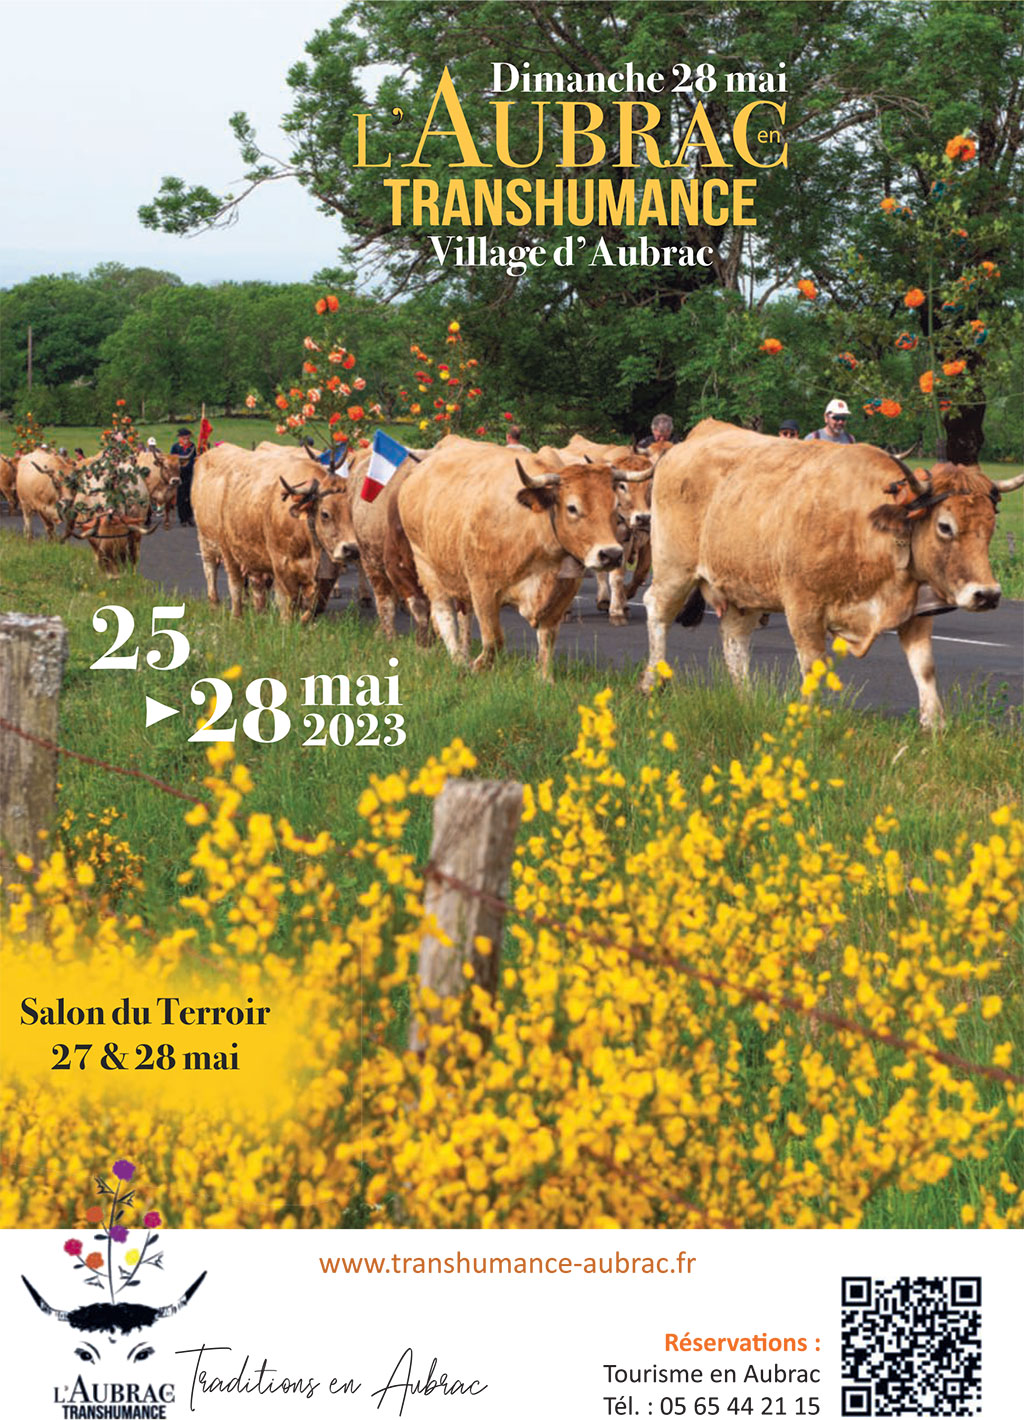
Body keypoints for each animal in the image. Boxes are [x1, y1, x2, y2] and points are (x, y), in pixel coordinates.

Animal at [190, 443, 359, 621]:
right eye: (325, 514)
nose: (352, 549)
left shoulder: (325, 575)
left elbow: (315, 605)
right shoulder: (281, 565)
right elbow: (288, 603)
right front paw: (287, 624)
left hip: (251, 553)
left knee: (257, 586)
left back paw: (260, 614)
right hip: (219, 547)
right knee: (227, 581)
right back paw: (230, 615)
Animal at [394, 434, 622, 678]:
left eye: (615, 506)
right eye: (572, 507)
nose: (611, 554)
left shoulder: (563, 592)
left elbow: (547, 638)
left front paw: (544, 679)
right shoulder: (483, 589)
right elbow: (494, 639)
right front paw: (477, 667)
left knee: (463, 616)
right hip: (426, 565)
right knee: (443, 614)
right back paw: (458, 660)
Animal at [639, 417, 1022, 732]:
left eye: (991, 526)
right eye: (945, 526)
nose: (987, 594)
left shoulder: (915, 611)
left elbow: (924, 666)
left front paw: (935, 726)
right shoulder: (803, 607)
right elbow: (813, 666)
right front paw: (806, 720)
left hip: (742, 587)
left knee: (734, 638)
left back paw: (745, 698)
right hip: (674, 568)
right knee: (657, 609)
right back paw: (651, 682)